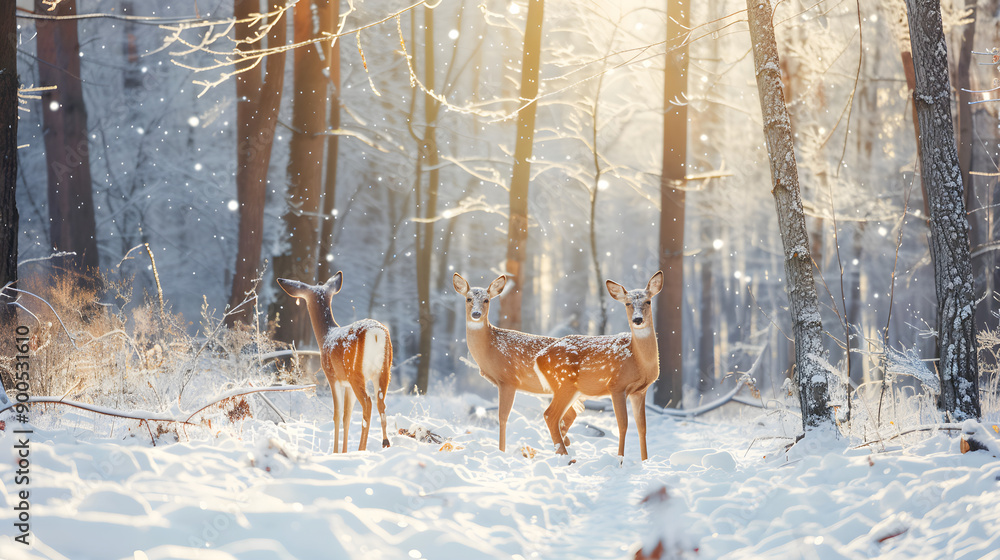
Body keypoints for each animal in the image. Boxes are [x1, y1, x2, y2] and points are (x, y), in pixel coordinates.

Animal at [277, 272, 392, 453]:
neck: (326, 337)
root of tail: (375, 334)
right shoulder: (347, 384)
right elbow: (347, 415)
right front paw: (344, 452)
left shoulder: (333, 378)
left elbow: (337, 414)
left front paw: (336, 452)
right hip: (384, 370)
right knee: (381, 402)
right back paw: (385, 443)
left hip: (355, 372)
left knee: (368, 403)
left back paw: (361, 449)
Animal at [452, 273, 580, 452]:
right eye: (468, 298)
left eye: (486, 300)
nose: (476, 314)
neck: (490, 347)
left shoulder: (509, 380)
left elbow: (503, 417)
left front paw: (501, 451)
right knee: (571, 414)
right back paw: (565, 442)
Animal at [534, 271, 663, 461]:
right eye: (627, 303)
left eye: (648, 301)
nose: (638, 319)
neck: (638, 361)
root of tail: (538, 357)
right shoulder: (616, 386)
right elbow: (623, 425)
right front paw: (620, 460)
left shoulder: (640, 391)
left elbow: (642, 428)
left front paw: (645, 461)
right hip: (564, 384)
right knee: (550, 415)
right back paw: (566, 457)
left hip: (573, 391)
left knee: (563, 418)